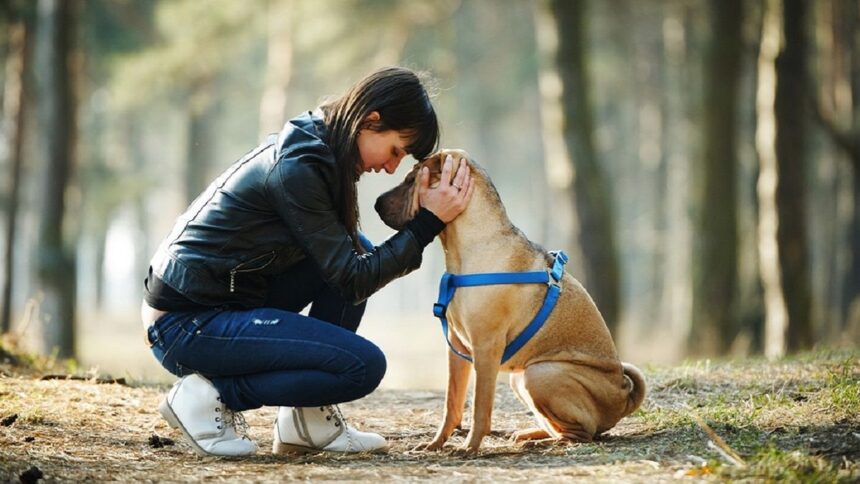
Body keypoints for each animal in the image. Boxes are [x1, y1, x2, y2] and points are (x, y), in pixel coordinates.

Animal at [376, 149, 644, 452]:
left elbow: (480, 406)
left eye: (412, 180)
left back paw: (543, 442)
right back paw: (527, 435)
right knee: (558, 426)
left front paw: (469, 446)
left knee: (583, 432)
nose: (375, 203)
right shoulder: (456, 348)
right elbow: (451, 403)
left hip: (540, 373)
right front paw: (435, 444)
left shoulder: (485, 347)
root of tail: (624, 396)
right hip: (520, 378)